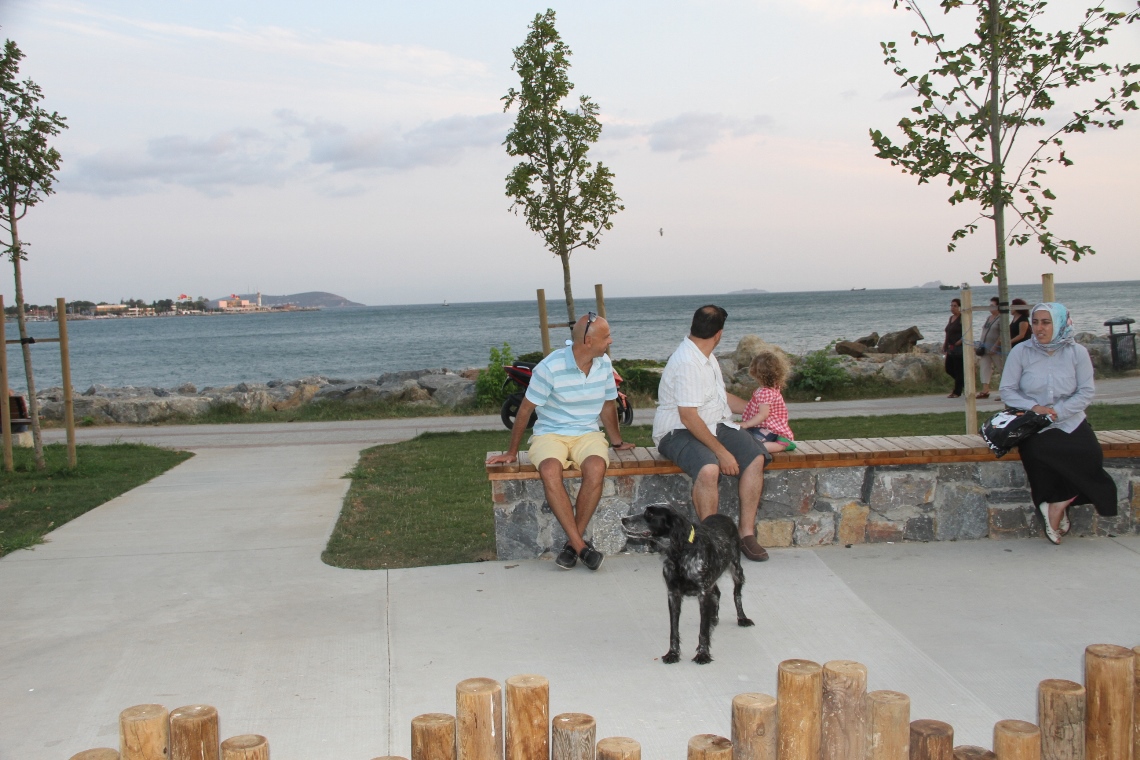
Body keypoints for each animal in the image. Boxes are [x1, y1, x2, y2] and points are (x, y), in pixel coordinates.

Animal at [621, 505, 754, 664]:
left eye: (650, 514)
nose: (623, 519)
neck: (680, 554)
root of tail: (724, 516)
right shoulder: (673, 594)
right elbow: (674, 630)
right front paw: (672, 653)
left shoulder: (703, 593)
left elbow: (703, 630)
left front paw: (702, 654)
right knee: (717, 592)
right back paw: (713, 618)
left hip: (737, 570)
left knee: (737, 595)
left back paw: (742, 618)